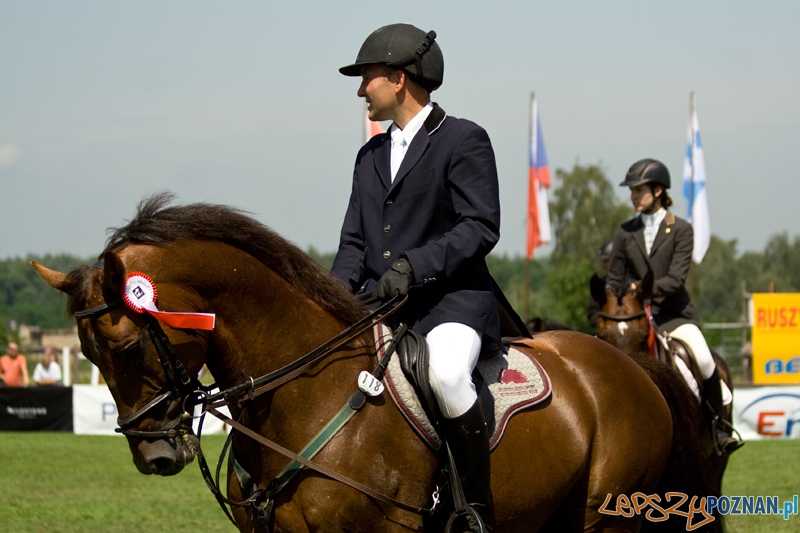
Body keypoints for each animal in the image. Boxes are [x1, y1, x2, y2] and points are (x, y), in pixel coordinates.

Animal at [32, 195, 720, 532]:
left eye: (125, 347)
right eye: (88, 356)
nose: (155, 457)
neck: (302, 398)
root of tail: (632, 367)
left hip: (604, 516)